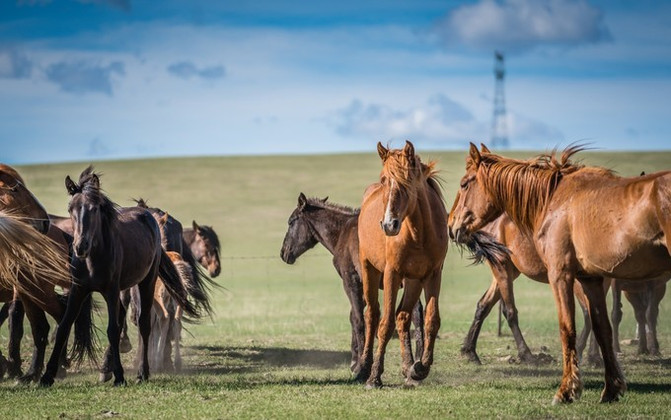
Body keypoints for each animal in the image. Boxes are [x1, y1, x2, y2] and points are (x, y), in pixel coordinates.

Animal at [39, 166, 199, 387]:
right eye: (70, 209)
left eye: (94, 209)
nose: (80, 247)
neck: (93, 260)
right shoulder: (78, 290)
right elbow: (64, 326)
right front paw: (47, 376)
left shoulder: (111, 291)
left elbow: (112, 330)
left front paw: (120, 375)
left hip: (146, 282)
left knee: (144, 324)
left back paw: (142, 372)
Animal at [280, 193, 425, 374]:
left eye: (291, 222)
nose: (283, 253)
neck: (342, 232)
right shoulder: (363, 284)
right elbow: (356, 315)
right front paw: (356, 359)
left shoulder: (350, 280)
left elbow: (358, 318)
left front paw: (360, 364)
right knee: (416, 313)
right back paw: (417, 362)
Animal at [357, 141, 448, 388]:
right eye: (384, 180)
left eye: (408, 181)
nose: (389, 225)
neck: (419, 234)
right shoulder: (392, 273)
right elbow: (384, 324)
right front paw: (374, 377)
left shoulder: (433, 274)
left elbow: (431, 320)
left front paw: (421, 367)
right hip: (369, 269)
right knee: (372, 314)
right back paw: (363, 367)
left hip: (413, 280)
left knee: (403, 317)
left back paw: (409, 367)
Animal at [447, 143, 671, 403]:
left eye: (464, 183)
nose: (451, 225)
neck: (552, 200)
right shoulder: (589, 278)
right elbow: (597, 325)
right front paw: (600, 383)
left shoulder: (567, 275)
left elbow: (576, 326)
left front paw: (573, 386)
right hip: (505, 269)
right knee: (499, 308)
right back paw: (488, 352)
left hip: (506, 269)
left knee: (496, 307)